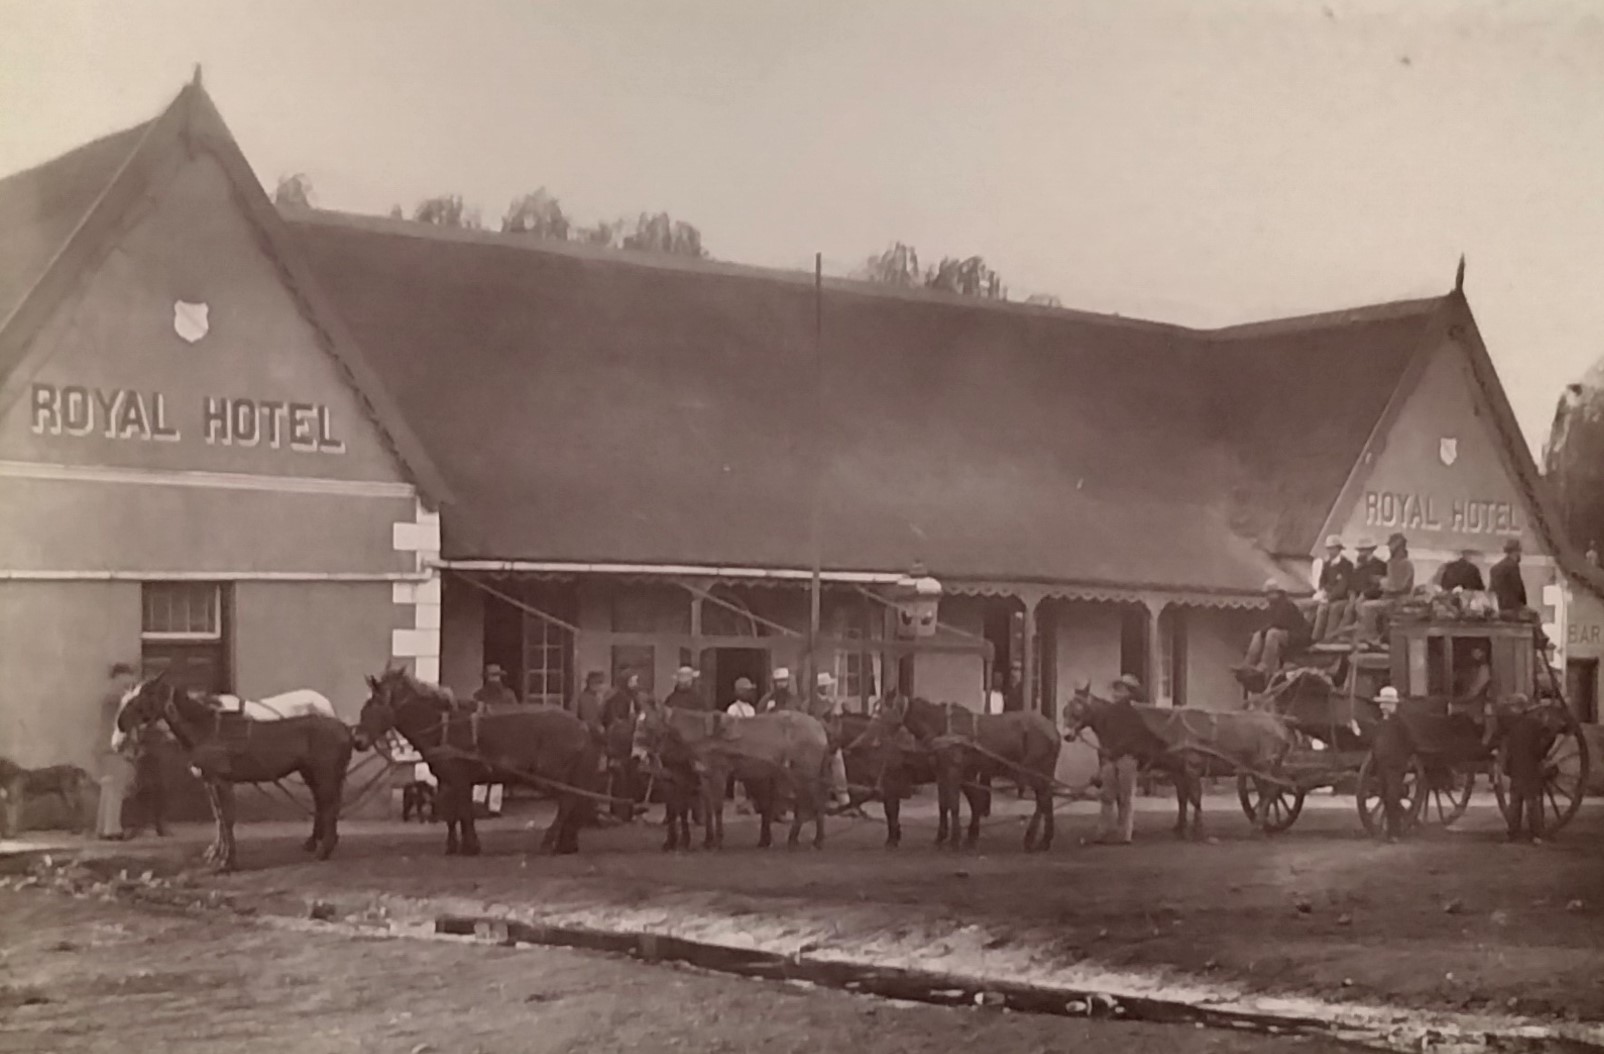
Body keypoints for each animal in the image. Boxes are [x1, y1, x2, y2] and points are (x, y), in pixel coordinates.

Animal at [113, 670, 353, 871]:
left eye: (143, 696)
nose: (121, 726)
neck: (208, 729)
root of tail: (343, 727)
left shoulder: (222, 781)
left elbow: (226, 819)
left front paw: (227, 862)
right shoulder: (211, 781)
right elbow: (219, 817)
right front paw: (218, 855)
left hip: (325, 775)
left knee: (329, 806)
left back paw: (323, 850)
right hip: (312, 773)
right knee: (323, 805)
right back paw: (317, 844)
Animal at [355, 666, 600, 857]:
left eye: (375, 707)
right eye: (364, 708)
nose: (358, 741)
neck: (443, 726)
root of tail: (581, 725)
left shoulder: (460, 779)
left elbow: (464, 811)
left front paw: (470, 846)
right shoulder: (446, 779)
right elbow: (451, 814)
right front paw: (453, 847)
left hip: (552, 774)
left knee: (567, 801)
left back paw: (550, 841)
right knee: (574, 802)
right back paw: (567, 843)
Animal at [632, 706, 831, 850]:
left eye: (648, 727)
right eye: (636, 725)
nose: (635, 756)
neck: (703, 737)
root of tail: (819, 728)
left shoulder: (718, 773)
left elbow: (717, 807)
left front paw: (717, 841)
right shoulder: (704, 775)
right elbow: (708, 808)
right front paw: (707, 840)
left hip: (806, 773)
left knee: (816, 802)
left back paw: (817, 840)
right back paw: (793, 839)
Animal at [839, 710, 987, 848]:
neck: (877, 742)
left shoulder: (890, 784)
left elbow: (891, 811)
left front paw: (891, 840)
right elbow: (893, 811)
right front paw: (895, 836)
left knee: (975, 799)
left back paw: (970, 837)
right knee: (975, 799)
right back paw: (970, 835)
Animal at [857, 695, 1060, 852]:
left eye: (882, 713)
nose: (866, 739)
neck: (941, 726)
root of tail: (1053, 730)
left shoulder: (953, 772)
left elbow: (954, 805)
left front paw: (955, 840)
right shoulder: (942, 773)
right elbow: (943, 805)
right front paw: (942, 838)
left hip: (1035, 772)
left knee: (1043, 801)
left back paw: (1031, 839)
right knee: (1046, 801)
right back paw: (1044, 840)